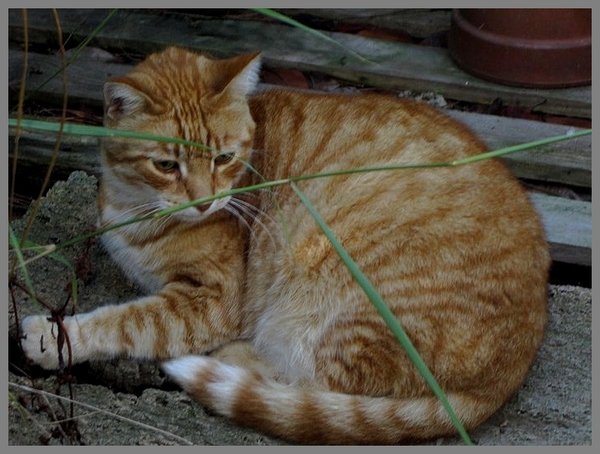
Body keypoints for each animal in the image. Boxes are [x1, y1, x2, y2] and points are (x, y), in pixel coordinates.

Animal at [21, 47, 552, 444]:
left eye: (223, 158)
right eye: (167, 165)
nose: (205, 203)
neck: (133, 205)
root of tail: (510, 368)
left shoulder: (211, 300)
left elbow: (130, 320)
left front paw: (54, 336)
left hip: (336, 291)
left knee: (316, 384)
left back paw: (235, 357)